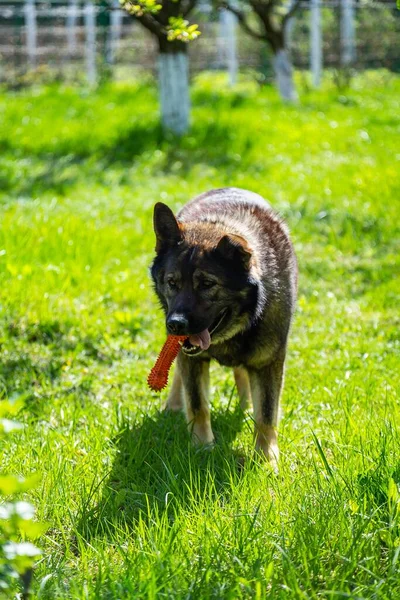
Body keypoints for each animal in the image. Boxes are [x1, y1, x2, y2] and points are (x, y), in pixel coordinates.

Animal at [150, 188, 296, 468]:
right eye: (172, 283)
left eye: (207, 284)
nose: (175, 324)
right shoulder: (192, 359)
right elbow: (198, 405)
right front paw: (202, 448)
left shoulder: (268, 363)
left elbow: (266, 414)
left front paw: (266, 460)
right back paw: (173, 405)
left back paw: (246, 405)